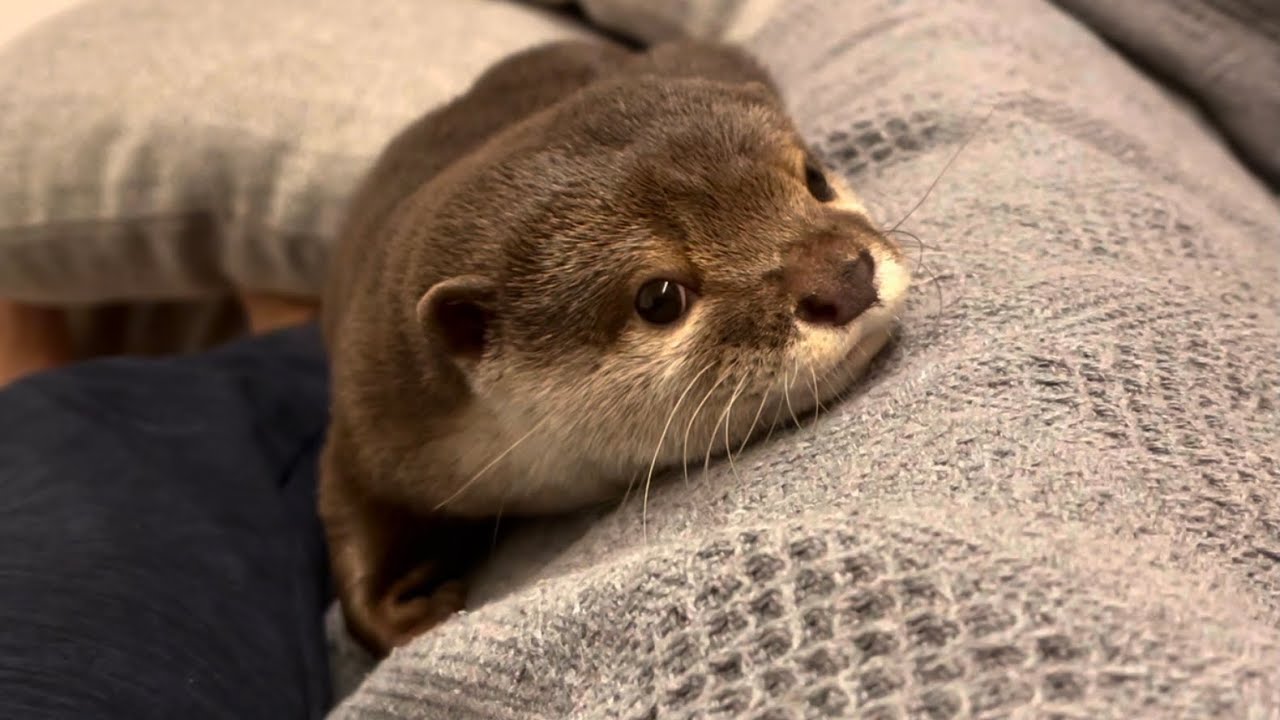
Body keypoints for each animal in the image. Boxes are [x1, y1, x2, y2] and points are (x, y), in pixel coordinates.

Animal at [317, 40, 911, 655]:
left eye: (816, 179)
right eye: (659, 297)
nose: (843, 278)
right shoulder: (374, 402)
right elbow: (346, 514)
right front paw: (412, 618)